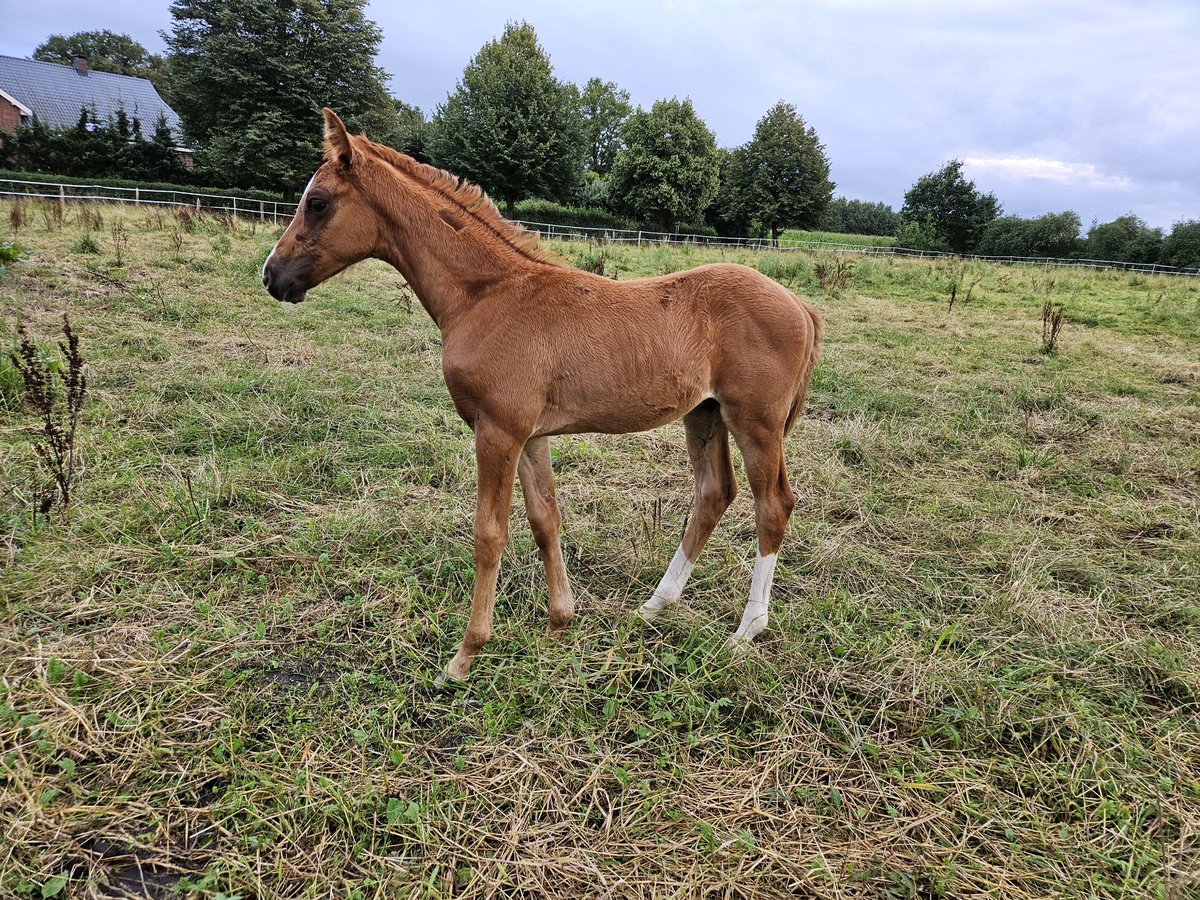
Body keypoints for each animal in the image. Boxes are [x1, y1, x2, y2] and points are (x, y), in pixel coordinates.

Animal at [265, 109, 825, 681]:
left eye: (317, 202)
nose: (272, 276)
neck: (488, 295)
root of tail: (802, 307)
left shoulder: (498, 431)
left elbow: (489, 534)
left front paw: (465, 655)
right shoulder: (531, 435)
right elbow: (544, 521)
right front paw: (559, 624)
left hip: (755, 422)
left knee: (773, 505)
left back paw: (746, 631)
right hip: (705, 413)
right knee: (714, 493)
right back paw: (655, 604)